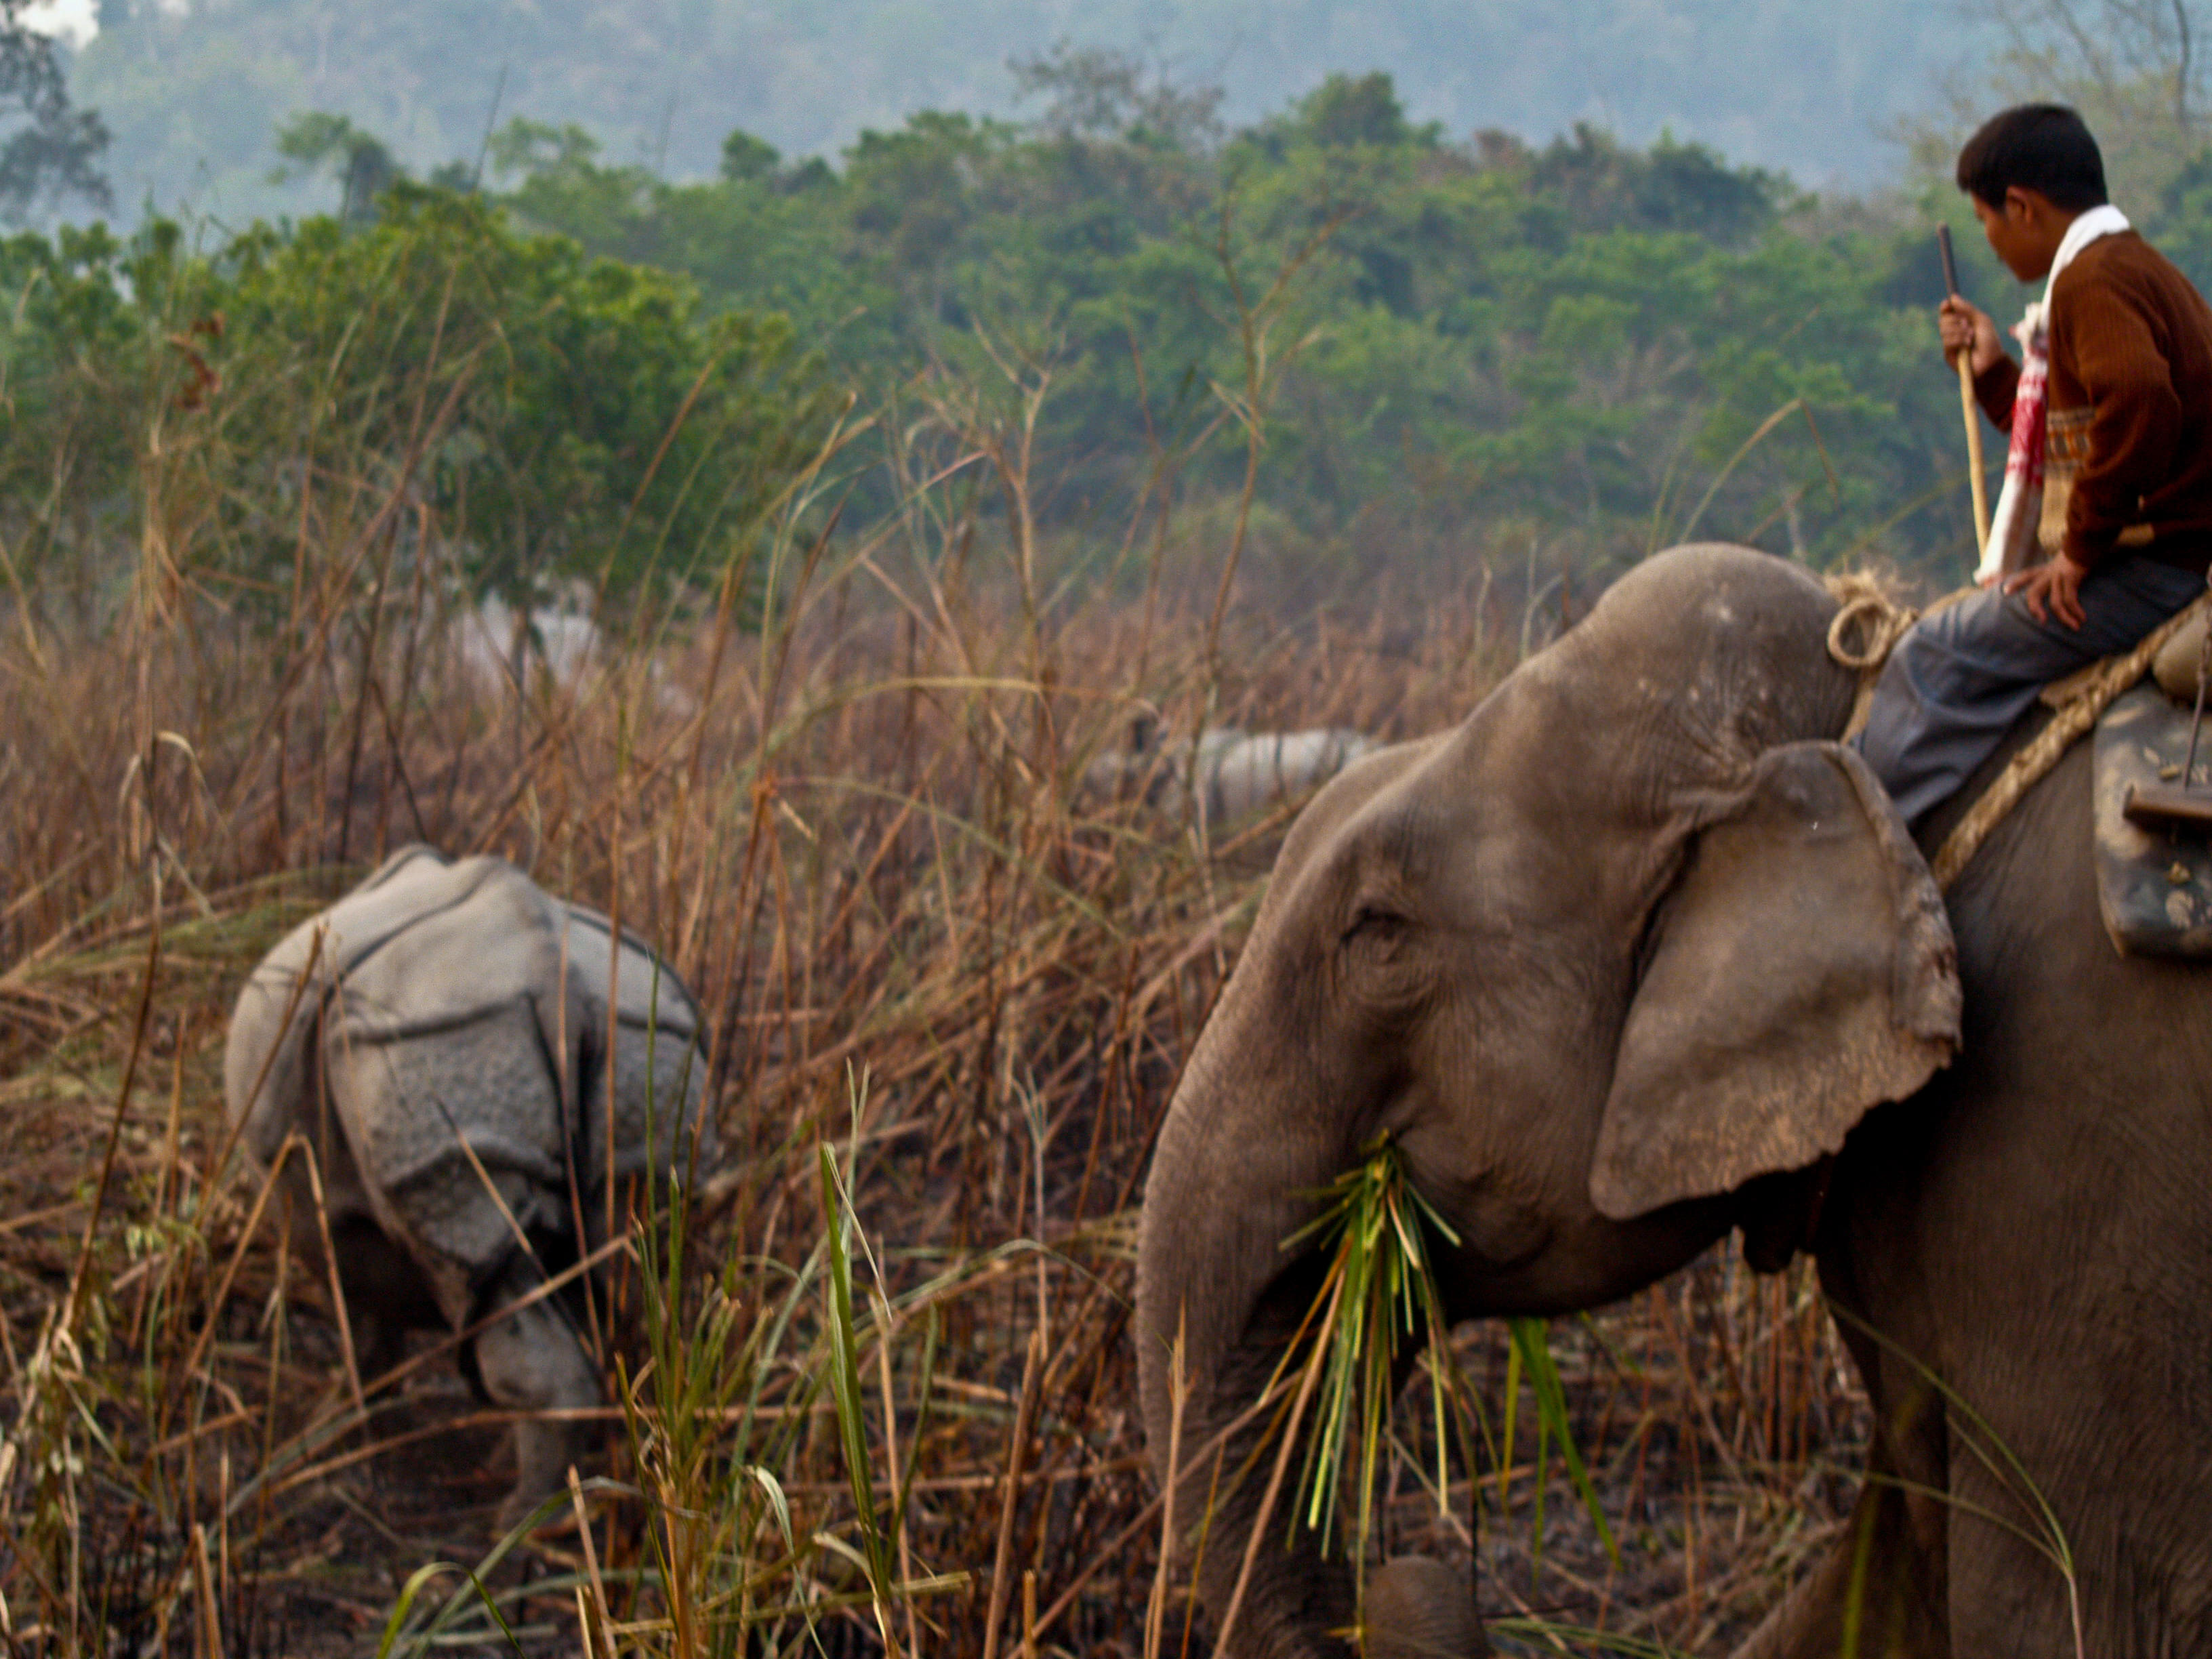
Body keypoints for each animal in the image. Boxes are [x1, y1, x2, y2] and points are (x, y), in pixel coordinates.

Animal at [223, 849, 712, 1530]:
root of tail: (556, 982)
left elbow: (357, 1309)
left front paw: (340, 1425)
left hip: (436, 1046)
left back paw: (518, 1522)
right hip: (649, 1047)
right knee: (630, 1265)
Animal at [1141, 548, 2212, 1659]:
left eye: (1378, 933)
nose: (1404, 1573)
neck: (1858, 726)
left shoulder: (2075, 1154)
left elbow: (2059, 1606)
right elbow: (1890, 1582)